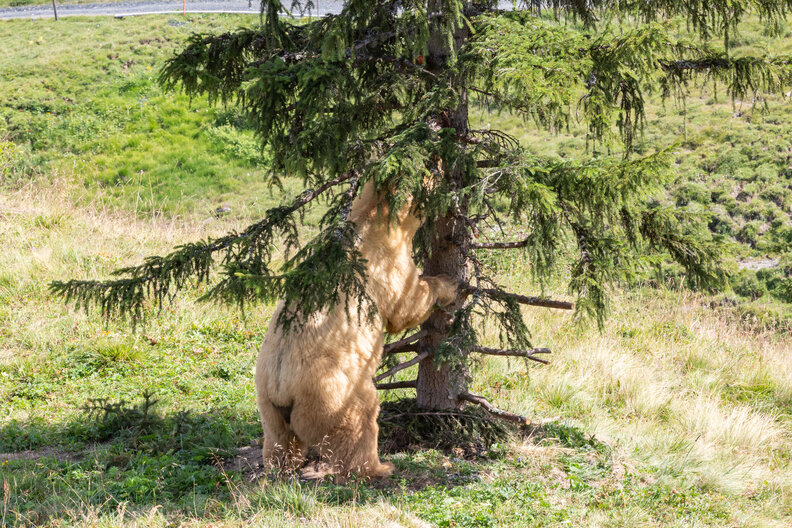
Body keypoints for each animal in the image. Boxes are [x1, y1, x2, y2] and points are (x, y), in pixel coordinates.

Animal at [255, 180, 457, 478]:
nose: (441, 171)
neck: (372, 222)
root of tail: (283, 389)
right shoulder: (385, 264)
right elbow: (406, 305)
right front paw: (448, 284)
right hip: (333, 394)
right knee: (358, 422)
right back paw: (379, 466)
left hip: (268, 405)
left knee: (280, 441)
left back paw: (279, 465)